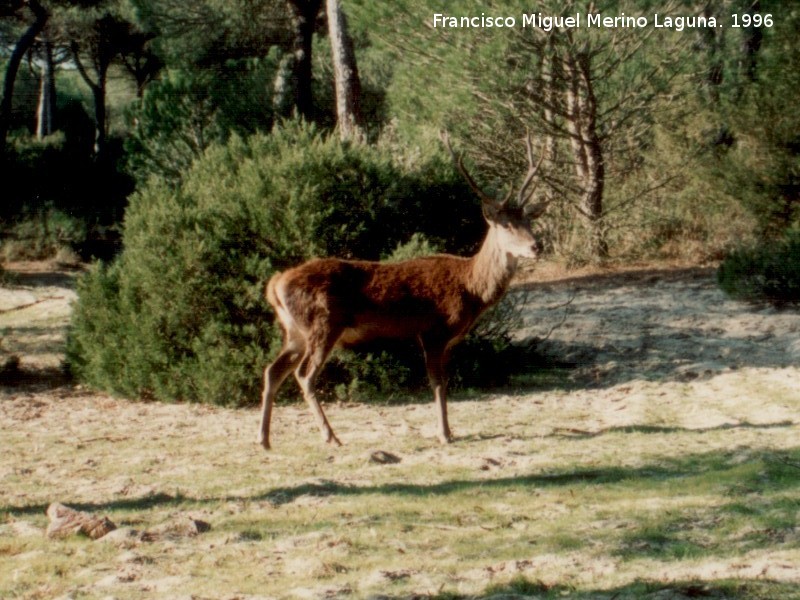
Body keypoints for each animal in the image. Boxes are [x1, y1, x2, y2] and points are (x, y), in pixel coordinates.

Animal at [260, 132, 548, 450]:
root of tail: (275, 284)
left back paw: (264, 439)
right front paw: (444, 433)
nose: (537, 246)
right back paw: (331, 436)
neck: (470, 289)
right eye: (506, 225)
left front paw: (448, 431)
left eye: (528, 221)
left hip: (295, 331)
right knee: (304, 374)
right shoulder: (434, 331)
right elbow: (438, 383)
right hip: (323, 324)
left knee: (273, 371)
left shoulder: (445, 340)